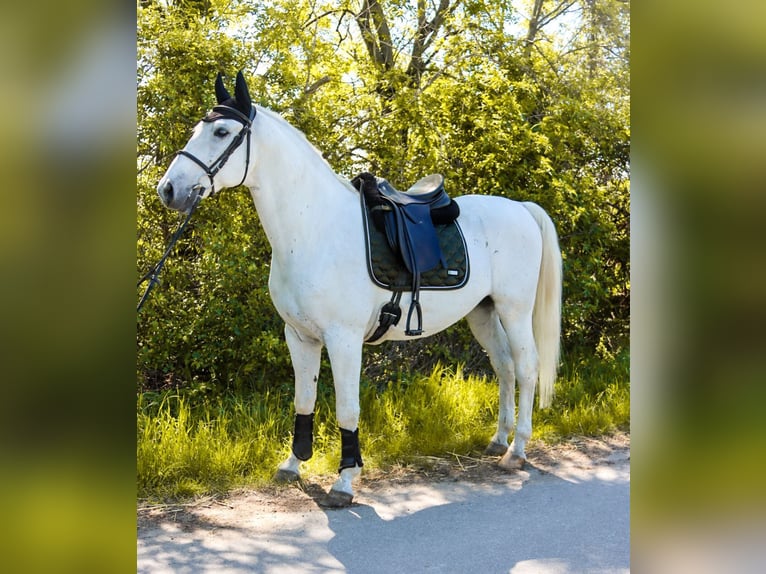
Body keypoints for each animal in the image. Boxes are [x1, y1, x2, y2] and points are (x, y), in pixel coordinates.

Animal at [156, 71, 562, 508]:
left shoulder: (344, 339)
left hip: (514, 310)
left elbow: (347, 409)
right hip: (482, 313)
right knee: (504, 367)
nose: (168, 189)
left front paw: (344, 482)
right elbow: (304, 400)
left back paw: (516, 451)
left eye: (221, 131)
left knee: (526, 367)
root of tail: (521, 208)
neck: (314, 228)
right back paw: (498, 440)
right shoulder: (299, 336)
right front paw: (293, 464)